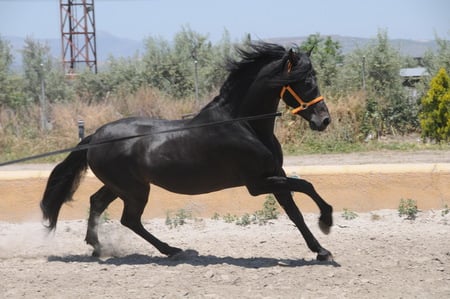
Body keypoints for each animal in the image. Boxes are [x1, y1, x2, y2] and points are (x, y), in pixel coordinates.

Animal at [40, 42, 332, 262]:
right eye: (306, 81)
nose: (324, 120)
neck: (245, 124)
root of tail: (94, 137)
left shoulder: (274, 174)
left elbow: (295, 210)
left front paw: (321, 250)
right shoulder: (257, 183)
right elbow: (306, 185)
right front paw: (326, 221)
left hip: (121, 186)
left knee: (98, 203)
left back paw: (98, 248)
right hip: (134, 190)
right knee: (129, 219)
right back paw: (171, 250)